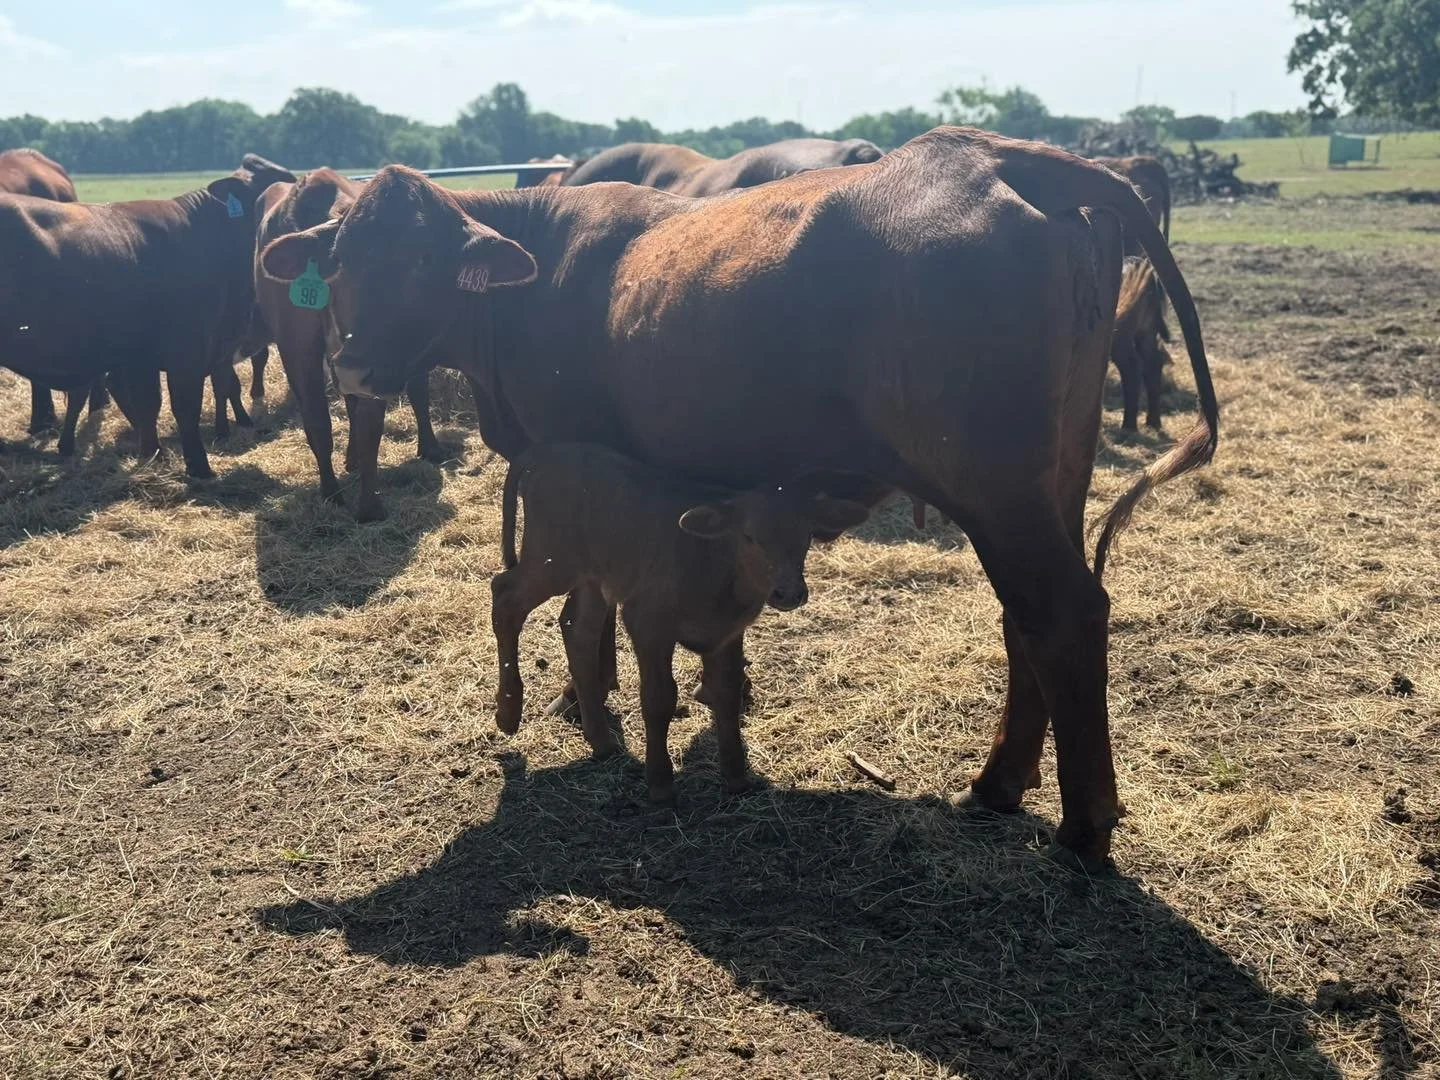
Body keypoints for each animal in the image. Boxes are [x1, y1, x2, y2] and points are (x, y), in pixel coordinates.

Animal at [0, 154, 295, 477]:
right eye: (273, 195)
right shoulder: (187, 348)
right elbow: (185, 405)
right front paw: (199, 467)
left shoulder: (144, 354)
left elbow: (148, 403)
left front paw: (152, 453)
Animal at [493, 442, 868, 801]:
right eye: (749, 536)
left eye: (805, 534)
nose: (788, 593)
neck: (712, 565)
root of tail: (548, 451)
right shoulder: (647, 623)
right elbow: (659, 698)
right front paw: (660, 782)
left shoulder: (728, 633)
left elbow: (727, 692)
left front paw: (736, 775)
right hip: (552, 558)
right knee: (506, 597)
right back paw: (508, 712)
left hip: (592, 574)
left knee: (577, 628)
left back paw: (601, 740)